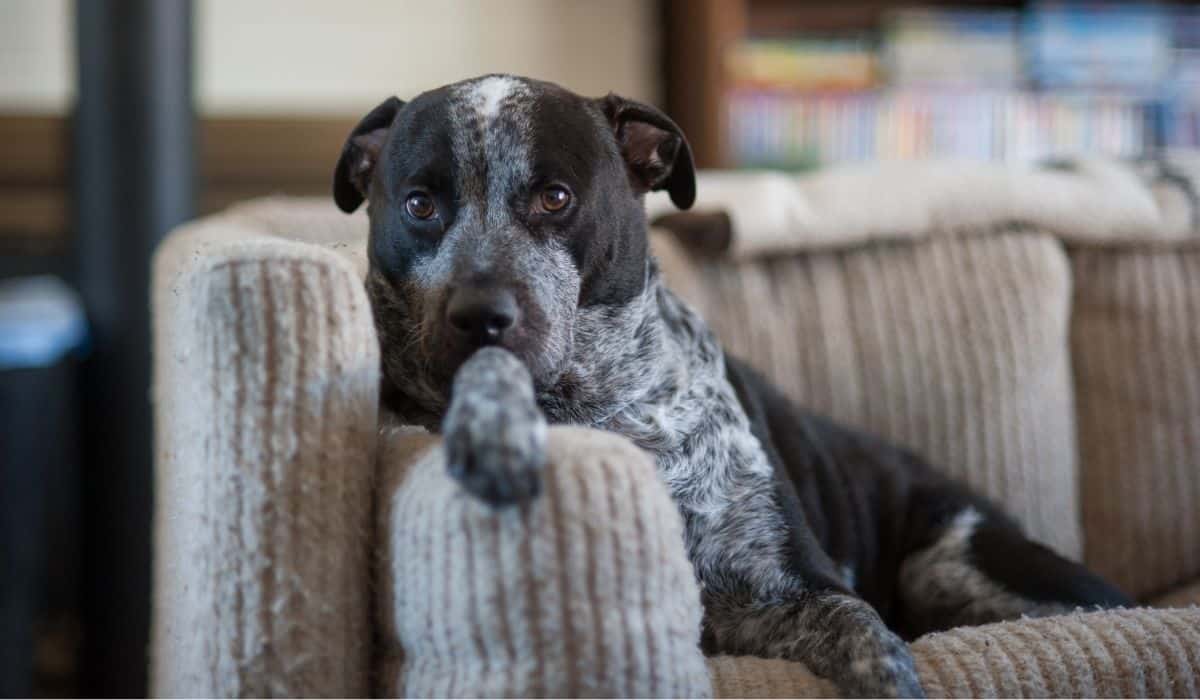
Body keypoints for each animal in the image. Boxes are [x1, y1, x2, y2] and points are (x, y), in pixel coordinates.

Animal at [331, 73, 1132, 696]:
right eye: (421, 204)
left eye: (555, 197)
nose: (481, 315)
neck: (604, 405)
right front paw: (493, 435)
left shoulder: (792, 588)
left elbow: (864, 633)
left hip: (964, 562)